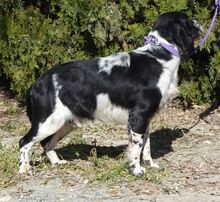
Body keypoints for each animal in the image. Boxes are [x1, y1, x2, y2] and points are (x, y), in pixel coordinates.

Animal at [18, 11, 201, 175]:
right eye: (188, 21)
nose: (198, 23)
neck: (159, 55)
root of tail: (37, 83)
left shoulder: (146, 117)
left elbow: (146, 144)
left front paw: (150, 165)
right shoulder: (139, 115)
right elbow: (136, 147)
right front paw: (136, 170)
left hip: (64, 122)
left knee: (46, 143)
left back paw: (56, 162)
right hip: (48, 121)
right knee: (24, 141)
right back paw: (24, 169)